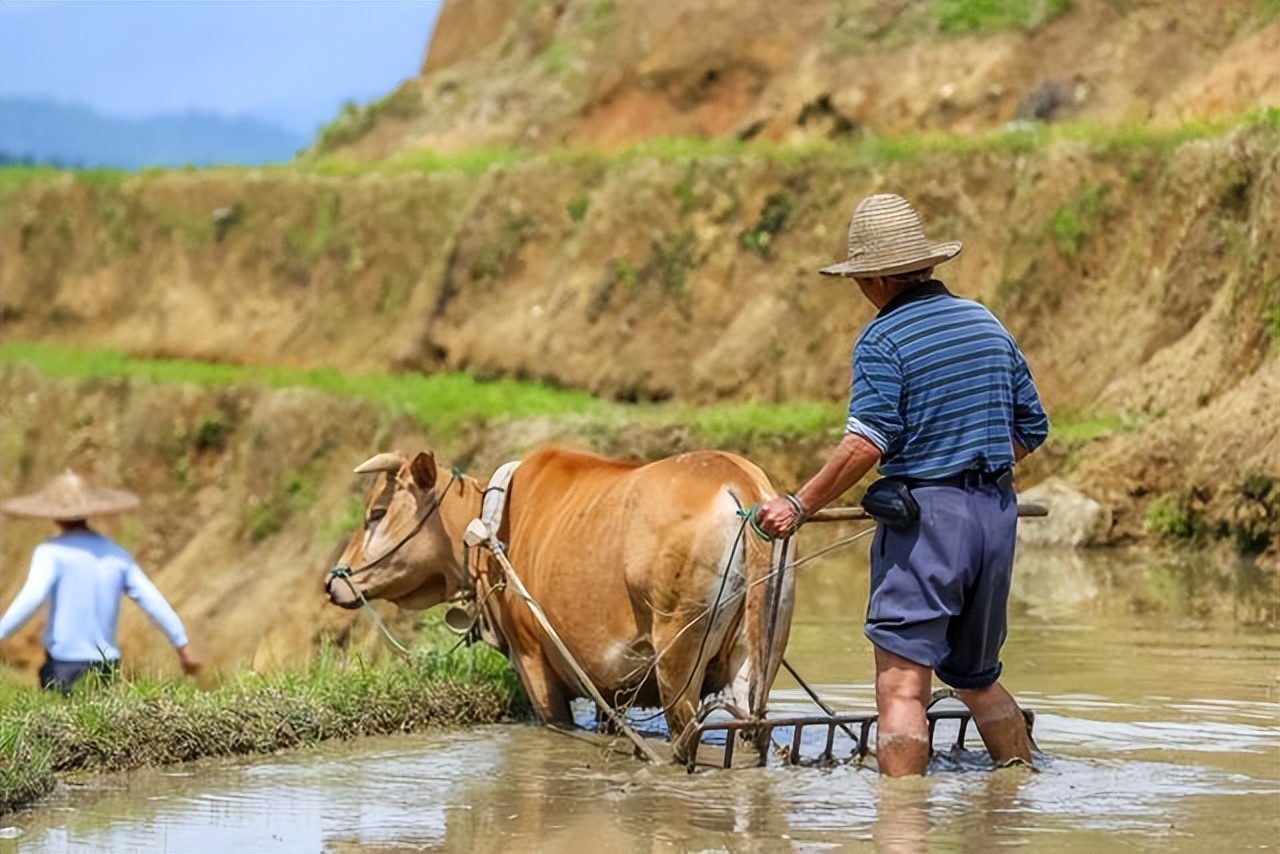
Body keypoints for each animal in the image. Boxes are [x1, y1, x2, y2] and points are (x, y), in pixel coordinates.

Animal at [322, 448, 788, 763]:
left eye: (376, 512)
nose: (332, 582)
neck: (493, 525)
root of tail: (738, 481)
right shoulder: (610, 688)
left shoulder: (533, 660)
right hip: (754, 664)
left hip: (677, 660)